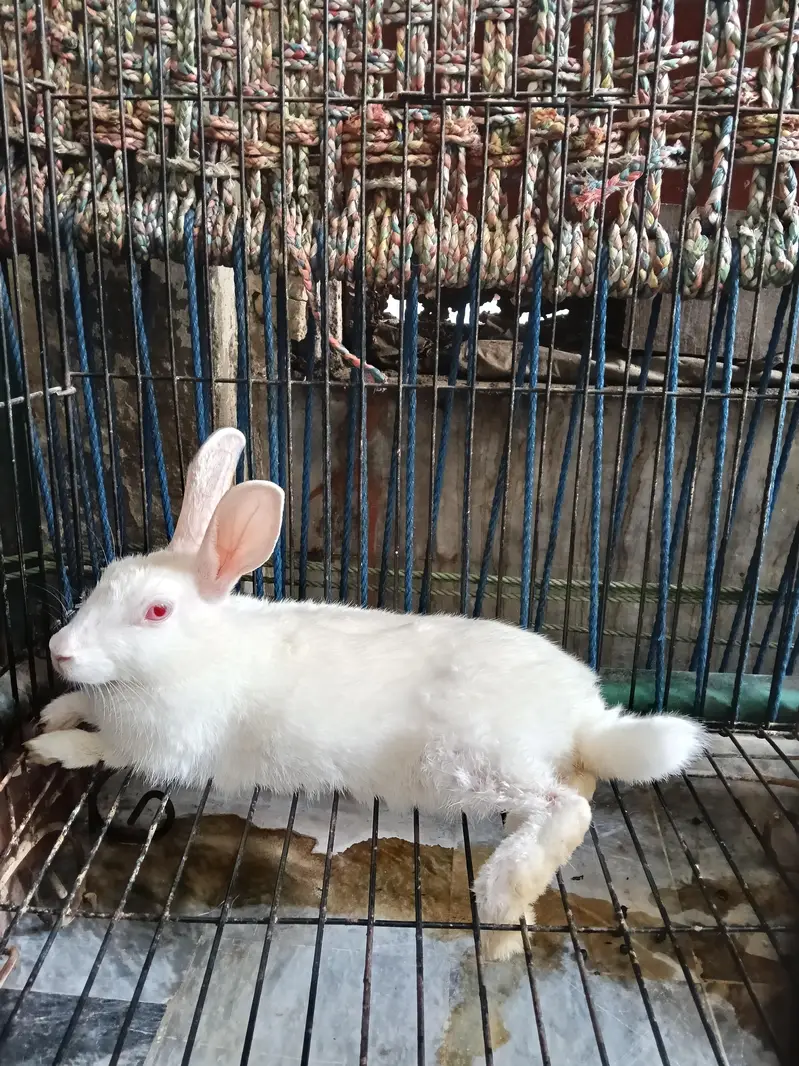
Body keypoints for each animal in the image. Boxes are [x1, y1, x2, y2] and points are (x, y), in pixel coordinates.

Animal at [24, 427, 706, 958]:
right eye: (105, 577)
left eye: (158, 611)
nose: (59, 650)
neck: (194, 653)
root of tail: (587, 718)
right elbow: (85, 706)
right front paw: (55, 710)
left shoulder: (163, 746)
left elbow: (107, 749)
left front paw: (50, 747)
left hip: (473, 764)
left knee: (568, 808)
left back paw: (501, 895)